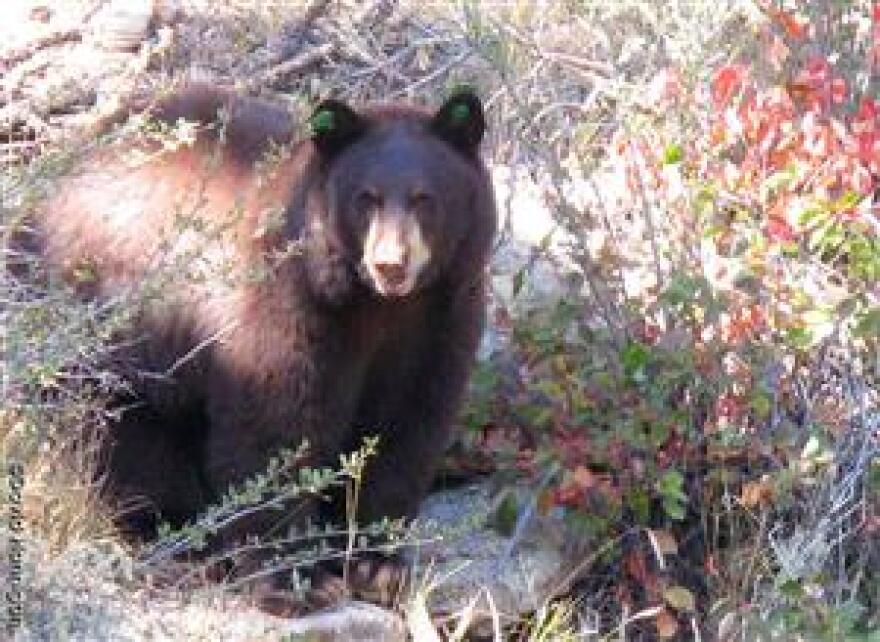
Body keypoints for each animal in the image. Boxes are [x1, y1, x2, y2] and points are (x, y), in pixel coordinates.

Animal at [32, 83, 497, 599]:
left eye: (423, 198)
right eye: (367, 198)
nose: (390, 264)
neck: (375, 305)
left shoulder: (439, 323)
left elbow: (405, 427)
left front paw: (376, 565)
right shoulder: (290, 304)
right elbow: (275, 424)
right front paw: (293, 579)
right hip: (107, 322)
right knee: (116, 436)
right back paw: (174, 537)